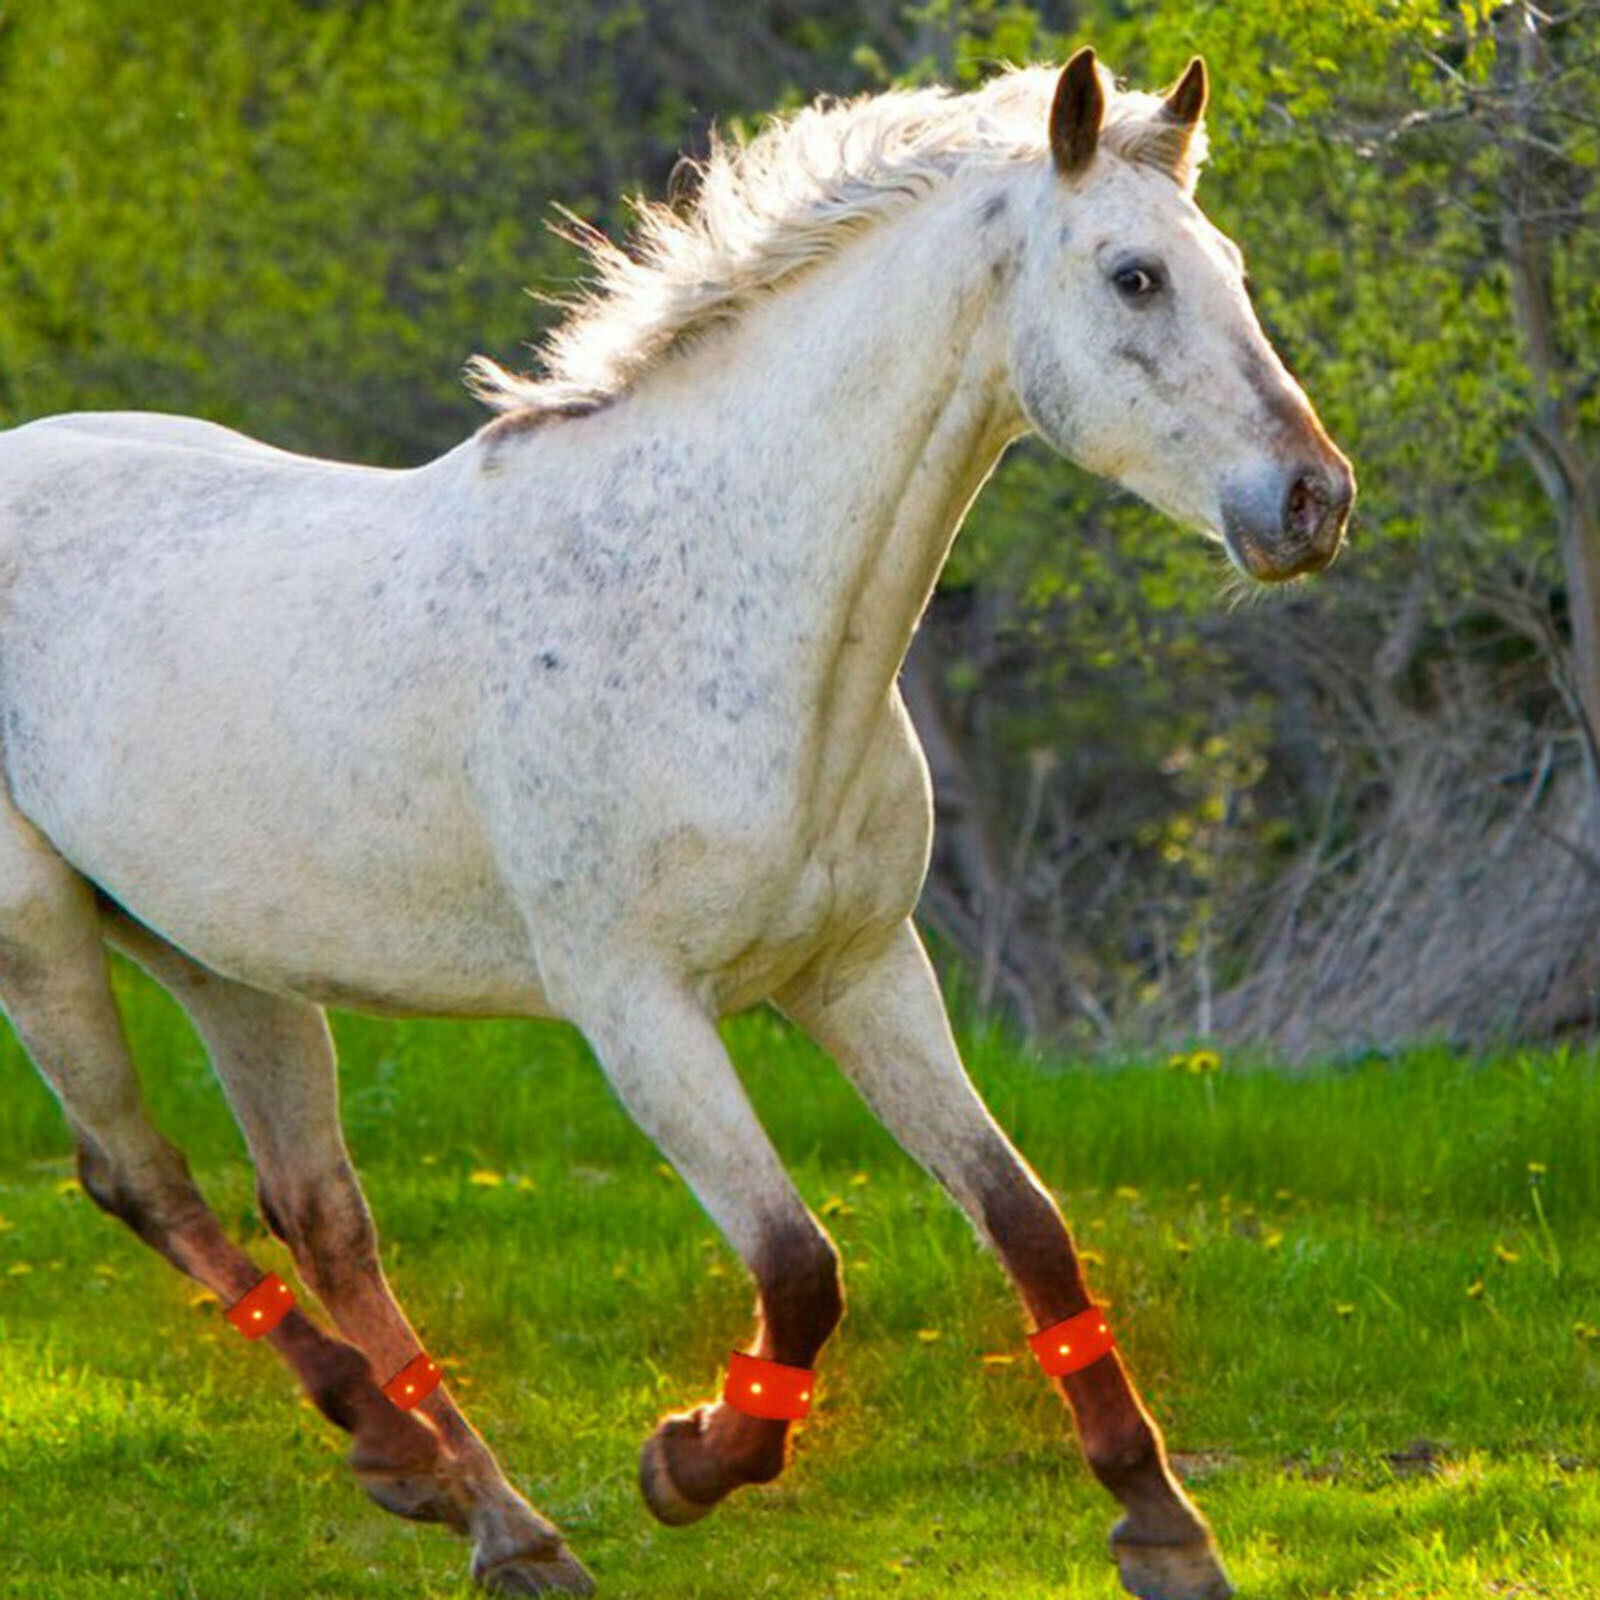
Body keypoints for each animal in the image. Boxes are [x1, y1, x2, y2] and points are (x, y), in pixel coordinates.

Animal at [0, 48, 1351, 1600]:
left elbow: (1027, 1226)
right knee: (140, 1178)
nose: (1313, 501)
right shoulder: (637, 1008)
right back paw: (400, 1453)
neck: (721, 606)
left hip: (228, 957)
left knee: (318, 1213)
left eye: (1228, 266)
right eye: (1134, 277)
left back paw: (489, 1516)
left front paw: (1161, 1529)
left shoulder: (862, 970)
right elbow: (799, 1267)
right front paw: (689, 1461)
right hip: (41, 933)